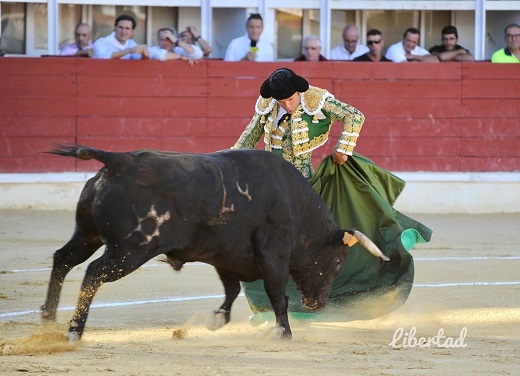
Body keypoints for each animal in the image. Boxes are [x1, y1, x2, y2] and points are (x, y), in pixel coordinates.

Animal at [40, 145, 388, 340]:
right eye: (339, 261)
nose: (318, 304)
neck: (295, 204)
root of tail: (119, 161)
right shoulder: (274, 255)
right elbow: (277, 294)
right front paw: (283, 332)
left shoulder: (226, 256)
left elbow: (231, 290)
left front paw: (216, 320)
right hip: (131, 250)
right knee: (93, 273)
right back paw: (73, 330)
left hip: (88, 234)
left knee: (63, 259)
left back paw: (48, 318)